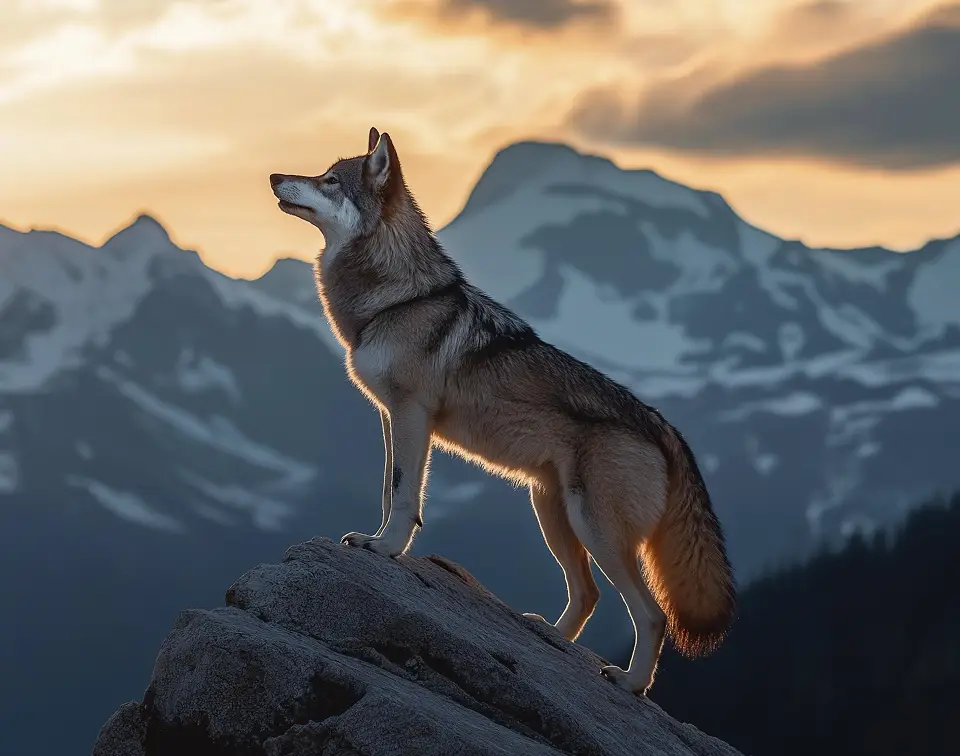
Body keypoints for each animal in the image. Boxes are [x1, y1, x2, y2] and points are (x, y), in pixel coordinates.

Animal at [269, 127, 736, 694]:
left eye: (330, 180)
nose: (272, 175)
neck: (399, 300)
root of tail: (661, 425)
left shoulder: (412, 416)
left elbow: (404, 498)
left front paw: (386, 550)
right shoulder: (389, 418)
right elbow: (387, 492)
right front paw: (375, 542)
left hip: (595, 529)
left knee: (652, 614)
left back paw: (628, 683)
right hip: (552, 512)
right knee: (588, 594)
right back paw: (548, 635)